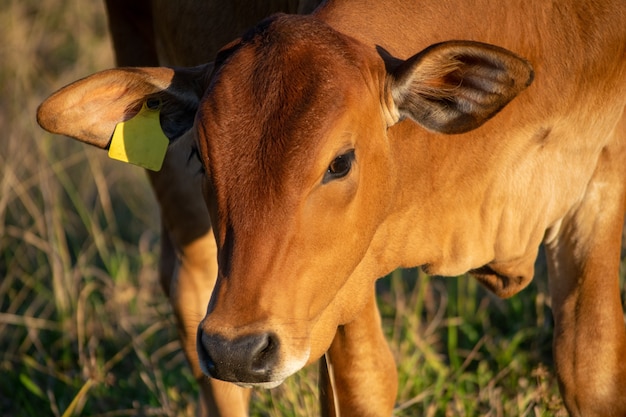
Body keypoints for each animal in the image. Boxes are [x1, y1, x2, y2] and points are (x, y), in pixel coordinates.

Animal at [39, 0, 624, 414]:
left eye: (340, 162)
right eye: (200, 156)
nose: (236, 350)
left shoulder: (601, 177)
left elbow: (591, 369)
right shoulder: (340, 285)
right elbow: (365, 383)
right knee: (188, 293)